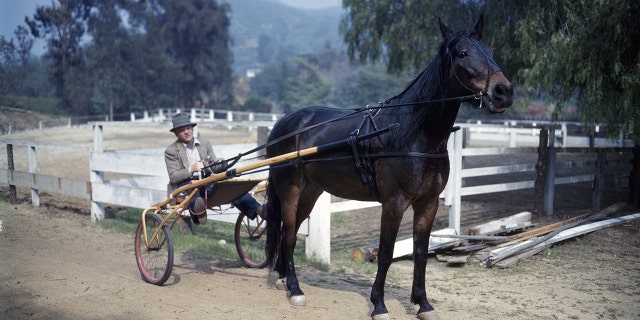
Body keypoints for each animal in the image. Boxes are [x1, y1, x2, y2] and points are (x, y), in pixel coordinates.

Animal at [262, 15, 512, 320]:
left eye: (490, 52)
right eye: (463, 53)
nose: (503, 91)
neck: (411, 133)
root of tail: (283, 124)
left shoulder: (428, 203)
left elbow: (420, 252)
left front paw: (423, 304)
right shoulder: (395, 202)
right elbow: (386, 252)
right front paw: (379, 305)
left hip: (310, 192)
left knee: (290, 231)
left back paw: (284, 279)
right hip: (290, 190)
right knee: (287, 233)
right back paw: (296, 289)